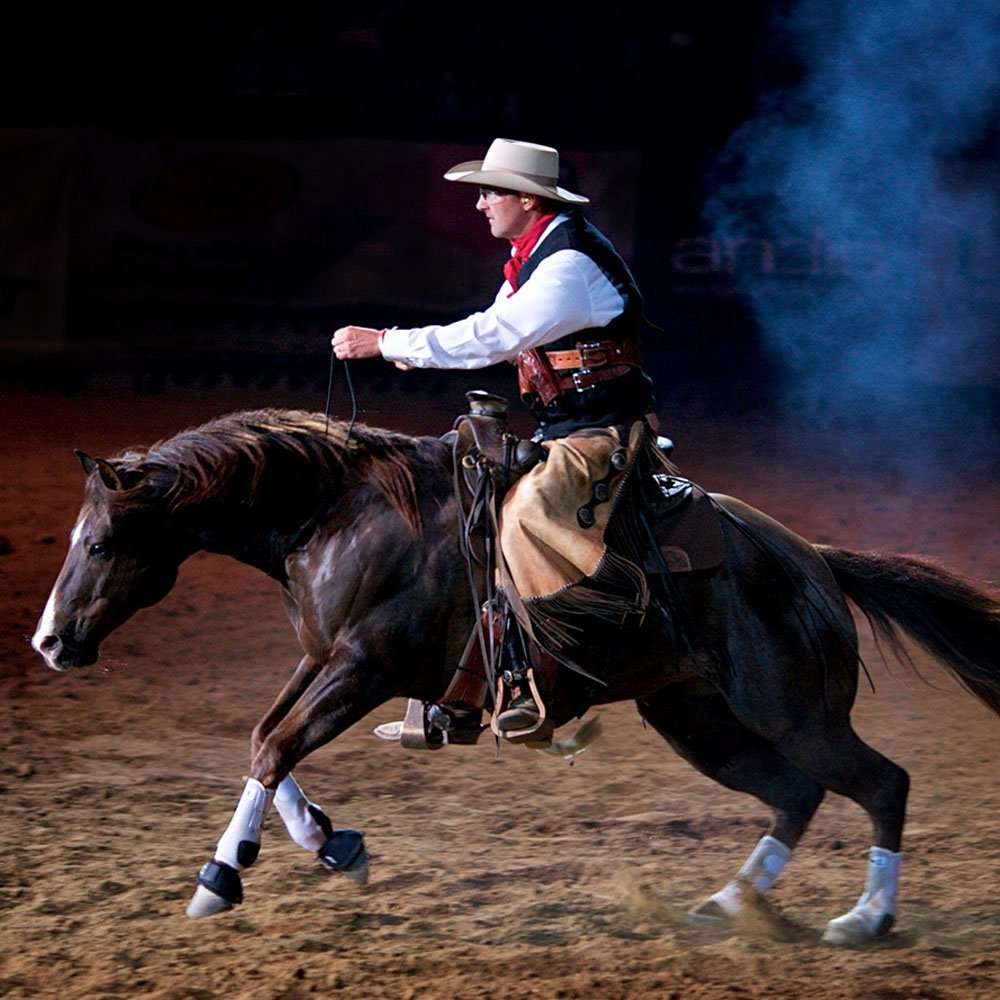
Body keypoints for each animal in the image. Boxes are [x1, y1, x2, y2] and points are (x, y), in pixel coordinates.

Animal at [31, 406, 1000, 944]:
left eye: (101, 543)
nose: (47, 643)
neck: (336, 514)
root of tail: (812, 560)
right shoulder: (320, 657)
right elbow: (266, 740)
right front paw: (332, 843)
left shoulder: (362, 666)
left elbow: (275, 747)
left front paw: (221, 876)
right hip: (698, 719)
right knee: (794, 795)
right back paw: (725, 907)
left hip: (797, 711)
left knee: (881, 783)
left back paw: (866, 919)